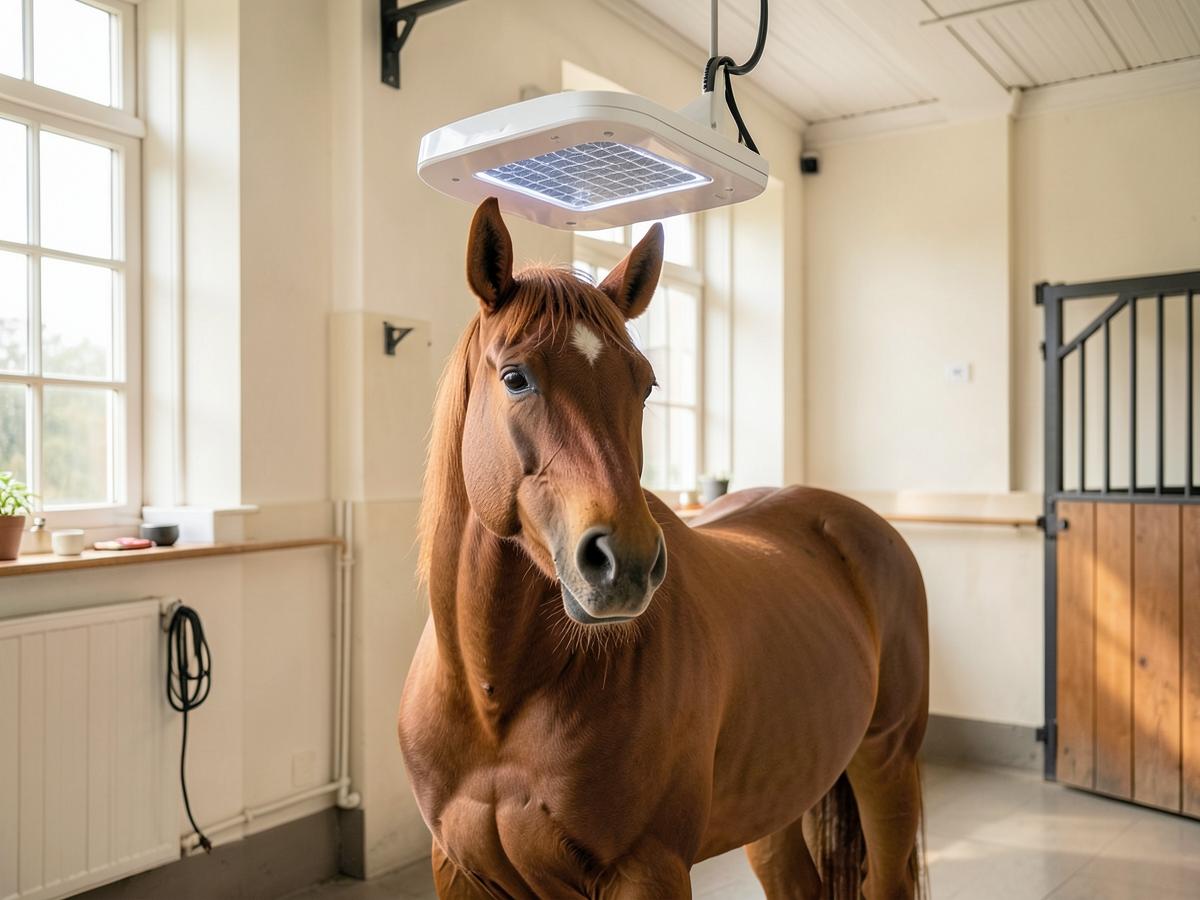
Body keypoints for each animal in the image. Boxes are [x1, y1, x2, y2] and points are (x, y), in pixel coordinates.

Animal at [398, 197, 929, 899]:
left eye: (646, 384)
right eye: (515, 378)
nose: (625, 563)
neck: (495, 703)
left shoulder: (647, 868)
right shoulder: (457, 868)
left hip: (886, 760)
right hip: (778, 797)